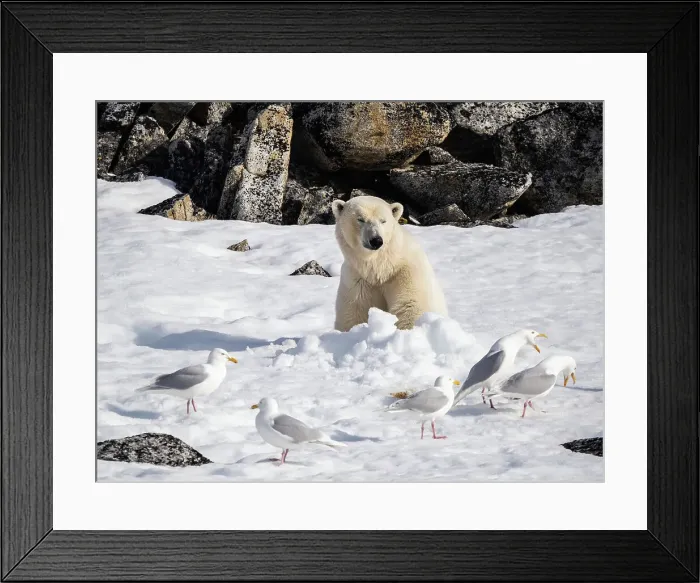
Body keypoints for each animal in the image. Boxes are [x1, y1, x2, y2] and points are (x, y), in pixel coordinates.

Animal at [332, 195, 447, 331]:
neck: (381, 267)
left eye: (383, 221)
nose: (376, 240)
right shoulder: (357, 279)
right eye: (360, 219)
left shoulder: (406, 272)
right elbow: (354, 312)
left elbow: (410, 305)